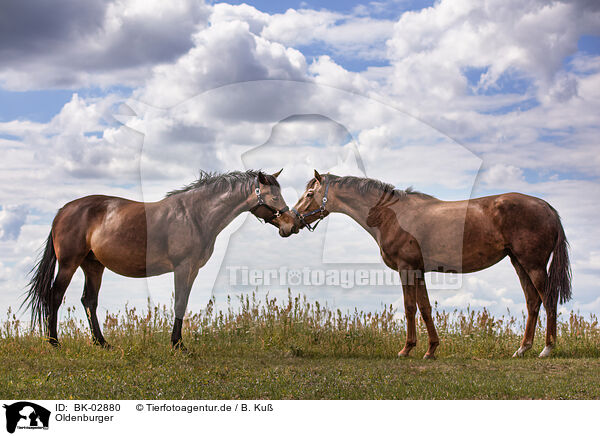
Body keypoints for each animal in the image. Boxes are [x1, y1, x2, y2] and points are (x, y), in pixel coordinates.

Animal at [25, 169, 298, 350]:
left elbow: (183, 304)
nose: (291, 224)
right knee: (55, 296)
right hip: (69, 264)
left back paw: (102, 343)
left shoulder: (192, 270)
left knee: (88, 300)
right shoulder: (183, 267)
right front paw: (178, 345)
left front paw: (177, 342)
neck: (195, 216)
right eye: (274, 197)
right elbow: (179, 303)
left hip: (93, 266)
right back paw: (54, 342)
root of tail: (63, 210)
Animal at [292, 170, 576, 358]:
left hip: (533, 264)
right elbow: (426, 308)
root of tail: (547, 207)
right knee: (533, 301)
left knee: (548, 299)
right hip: (519, 263)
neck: (390, 215)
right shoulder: (418, 271)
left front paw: (406, 349)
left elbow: (409, 308)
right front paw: (431, 349)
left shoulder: (406, 269)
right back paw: (522, 348)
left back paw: (547, 348)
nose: (289, 220)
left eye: (309, 194)